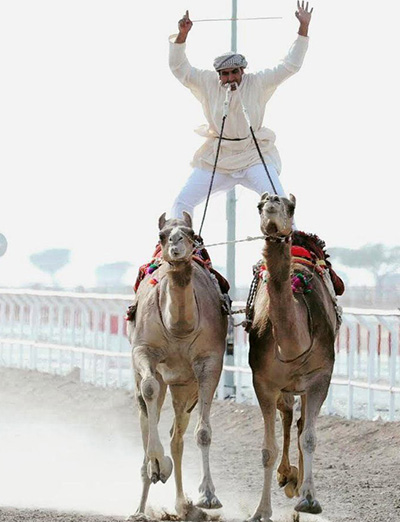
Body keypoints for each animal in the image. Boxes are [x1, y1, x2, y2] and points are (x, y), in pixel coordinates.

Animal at [128, 210, 228, 516]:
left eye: (192, 233)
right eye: (161, 235)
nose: (175, 245)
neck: (179, 328)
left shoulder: (209, 362)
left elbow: (203, 432)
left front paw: (208, 496)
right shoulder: (143, 350)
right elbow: (149, 389)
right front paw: (159, 466)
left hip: (185, 386)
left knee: (176, 437)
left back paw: (183, 505)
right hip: (158, 379)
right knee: (146, 415)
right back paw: (140, 506)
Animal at [250, 192, 338, 520]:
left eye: (290, 206)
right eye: (259, 206)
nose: (272, 202)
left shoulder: (321, 377)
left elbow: (310, 438)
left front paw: (309, 500)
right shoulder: (262, 381)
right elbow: (267, 448)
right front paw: (262, 509)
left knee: (299, 424)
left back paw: (297, 483)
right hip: (285, 386)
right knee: (287, 416)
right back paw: (287, 476)